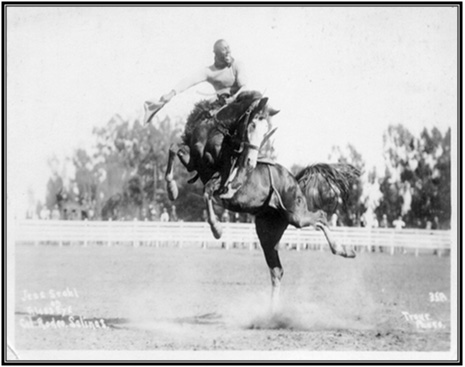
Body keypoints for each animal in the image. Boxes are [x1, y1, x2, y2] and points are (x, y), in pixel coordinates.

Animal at [161, 90, 358, 312]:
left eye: (266, 131)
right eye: (253, 124)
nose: (250, 162)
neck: (213, 133)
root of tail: (294, 179)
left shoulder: (220, 175)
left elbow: (207, 191)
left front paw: (217, 229)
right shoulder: (194, 162)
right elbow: (174, 149)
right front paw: (172, 189)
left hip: (296, 215)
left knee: (322, 217)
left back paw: (343, 250)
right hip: (268, 232)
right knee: (277, 270)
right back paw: (272, 311)